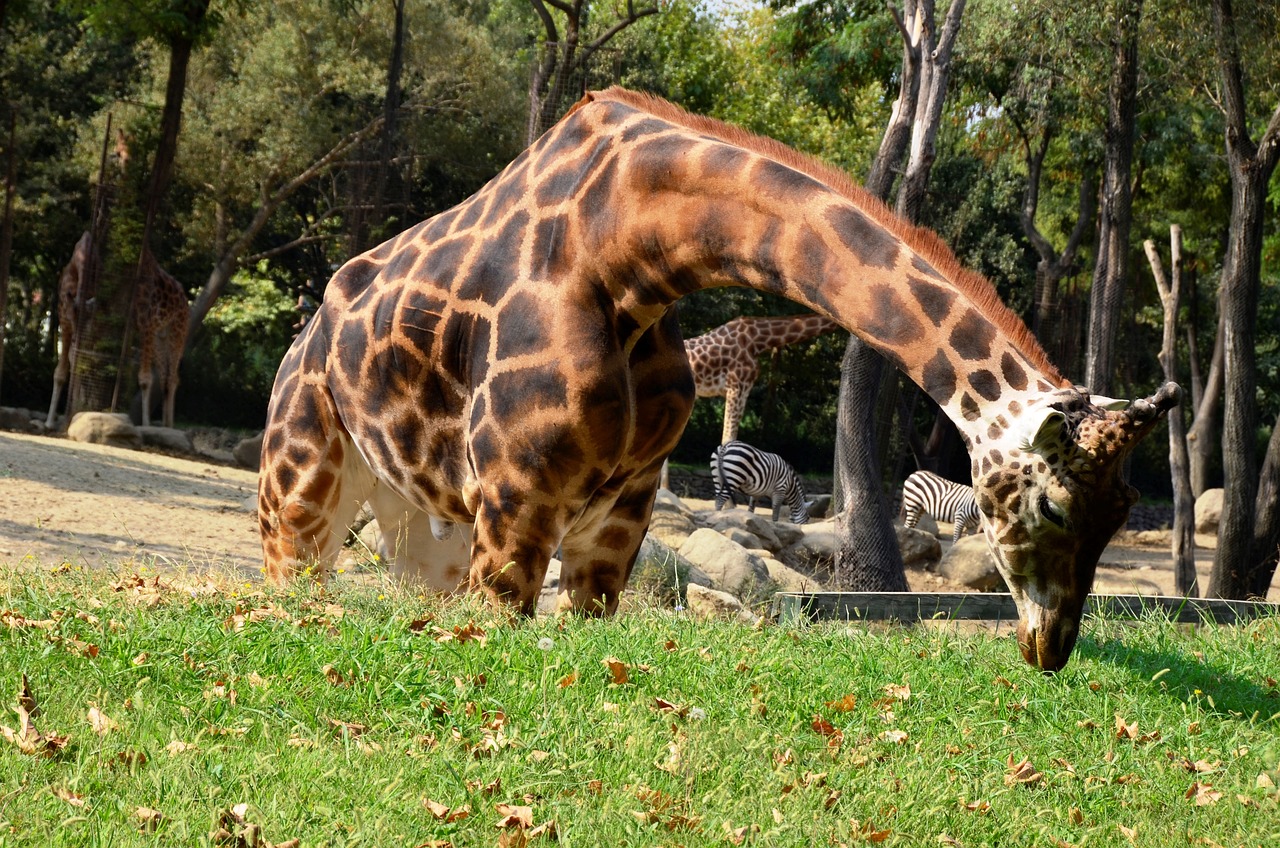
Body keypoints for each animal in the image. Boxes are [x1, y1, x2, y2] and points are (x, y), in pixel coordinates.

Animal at [47, 234, 189, 427]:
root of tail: (185, 300)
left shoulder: (146, 324)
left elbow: (145, 379)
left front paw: (146, 425)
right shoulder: (64, 320)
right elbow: (59, 372)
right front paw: (49, 422)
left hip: (178, 330)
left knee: (173, 378)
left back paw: (169, 426)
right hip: (161, 336)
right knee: (166, 377)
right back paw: (167, 425)